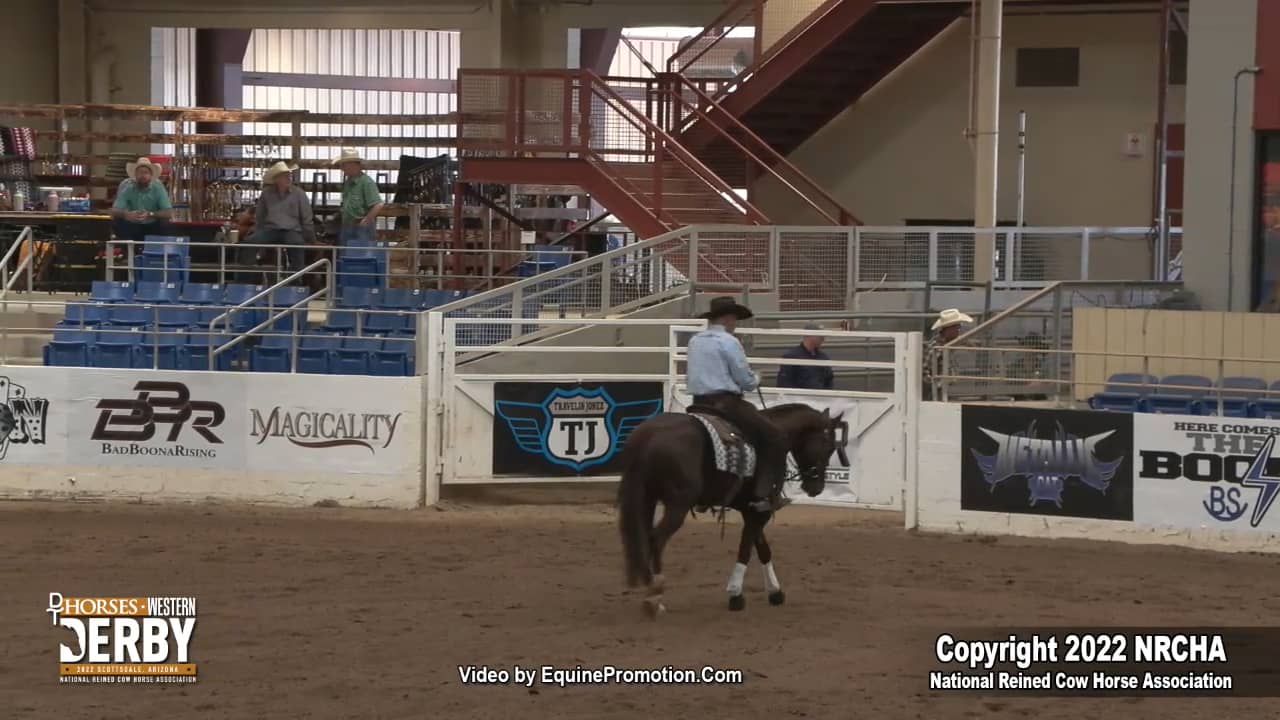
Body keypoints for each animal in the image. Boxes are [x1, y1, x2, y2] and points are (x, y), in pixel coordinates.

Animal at [614, 399, 844, 614]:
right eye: (830, 446)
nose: (816, 488)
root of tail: (648, 434)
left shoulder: (752, 509)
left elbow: (762, 549)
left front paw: (775, 592)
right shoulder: (760, 511)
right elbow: (746, 548)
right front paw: (735, 594)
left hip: (646, 498)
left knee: (643, 538)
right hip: (677, 505)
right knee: (656, 540)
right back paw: (655, 596)